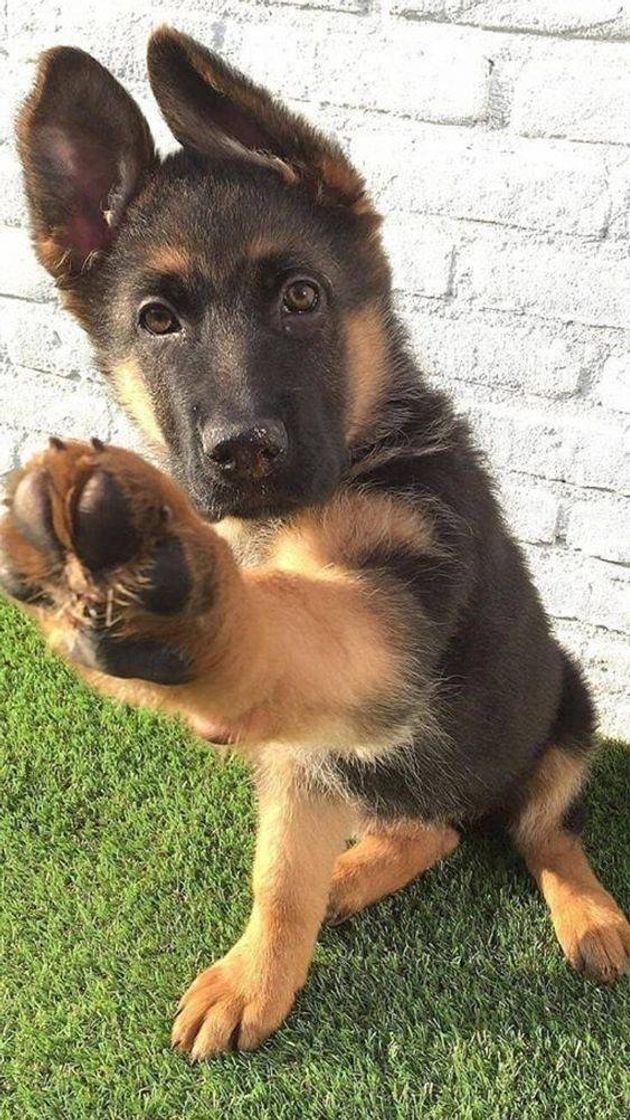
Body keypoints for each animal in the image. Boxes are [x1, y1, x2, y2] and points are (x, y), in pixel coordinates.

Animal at [2, 26, 623, 1057]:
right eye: (157, 321)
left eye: (302, 296)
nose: (242, 451)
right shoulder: (304, 748)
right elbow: (278, 874)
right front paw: (258, 974)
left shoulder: (402, 587)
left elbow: (294, 622)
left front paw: (184, 598)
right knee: (430, 827)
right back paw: (354, 870)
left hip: (566, 713)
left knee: (544, 832)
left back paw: (590, 913)